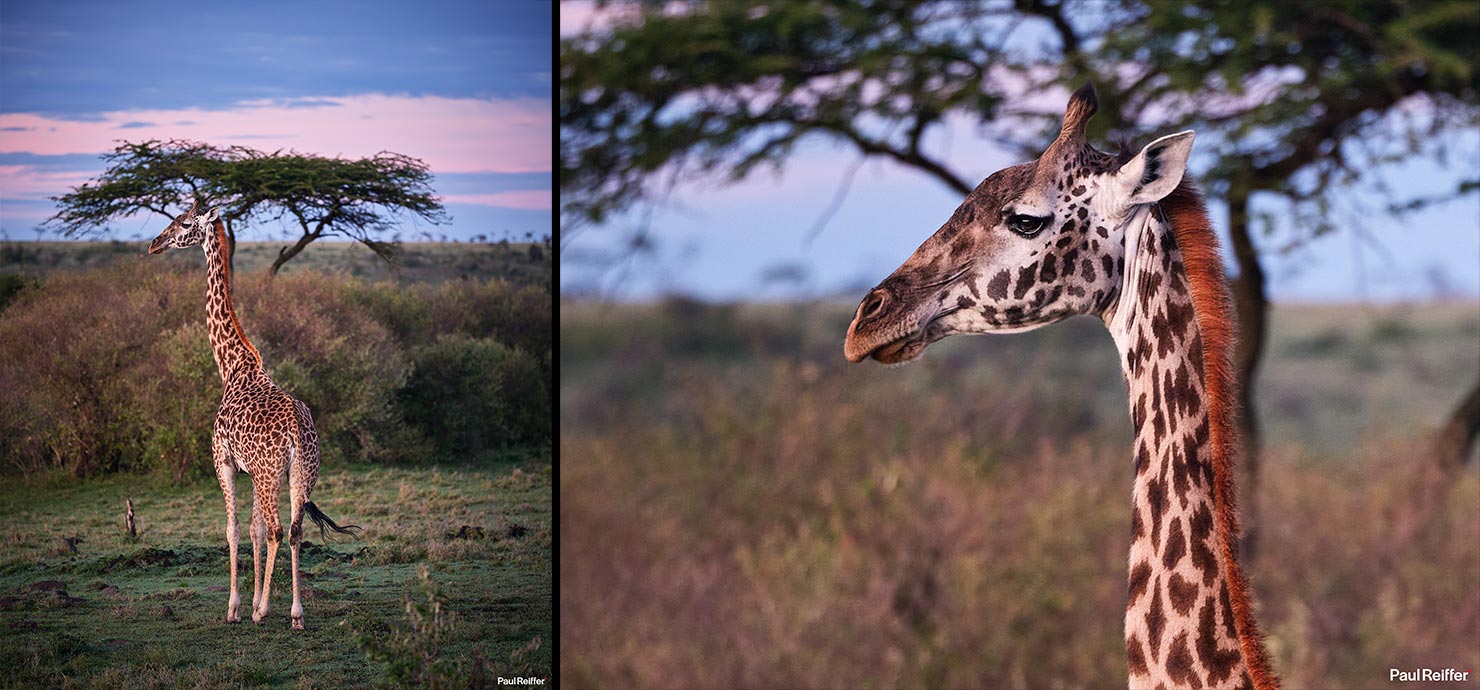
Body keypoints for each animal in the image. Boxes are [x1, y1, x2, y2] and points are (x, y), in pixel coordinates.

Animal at [149, 199, 361, 630]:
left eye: (184, 223)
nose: (155, 244)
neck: (231, 366)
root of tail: (296, 430)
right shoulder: (250, 470)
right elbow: (254, 530)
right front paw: (251, 603)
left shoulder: (224, 462)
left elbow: (233, 529)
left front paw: (236, 608)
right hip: (301, 474)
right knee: (294, 531)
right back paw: (296, 614)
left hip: (270, 476)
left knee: (280, 530)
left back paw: (266, 611)